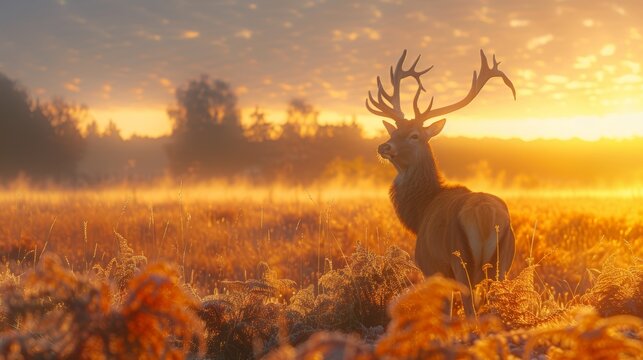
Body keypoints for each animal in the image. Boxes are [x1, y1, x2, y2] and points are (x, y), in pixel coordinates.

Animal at [368, 50, 520, 316]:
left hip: (461, 260)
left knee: (470, 309)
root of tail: (485, 214)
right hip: (503, 263)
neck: (420, 213)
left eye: (415, 135)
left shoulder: (431, 266)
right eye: (394, 131)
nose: (384, 147)